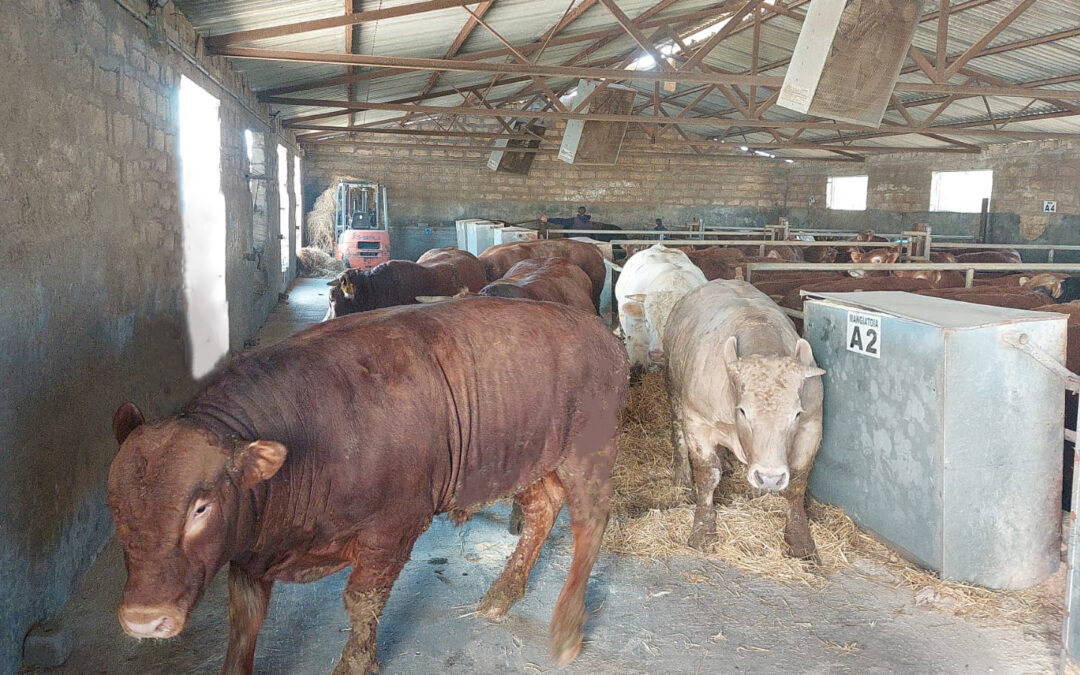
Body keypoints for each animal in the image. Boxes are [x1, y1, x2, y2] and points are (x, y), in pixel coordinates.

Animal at [105, 300, 630, 673]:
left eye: (201, 507)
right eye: (114, 506)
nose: (144, 618)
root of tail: (598, 330)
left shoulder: (392, 528)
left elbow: (361, 602)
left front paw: (355, 664)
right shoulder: (251, 552)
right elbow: (243, 621)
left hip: (590, 452)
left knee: (590, 525)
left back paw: (566, 631)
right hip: (529, 458)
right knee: (543, 508)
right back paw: (502, 594)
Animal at [660, 280, 820, 557]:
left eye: (796, 414)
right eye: (743, 411)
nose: (769, 478)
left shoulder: (811, 428)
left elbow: (798, 482)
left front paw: (799, 538)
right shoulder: (698, 423)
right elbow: (707, 475)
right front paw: (703, 530)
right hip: (674, 391)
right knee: (678, 433)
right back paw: (682, 477)